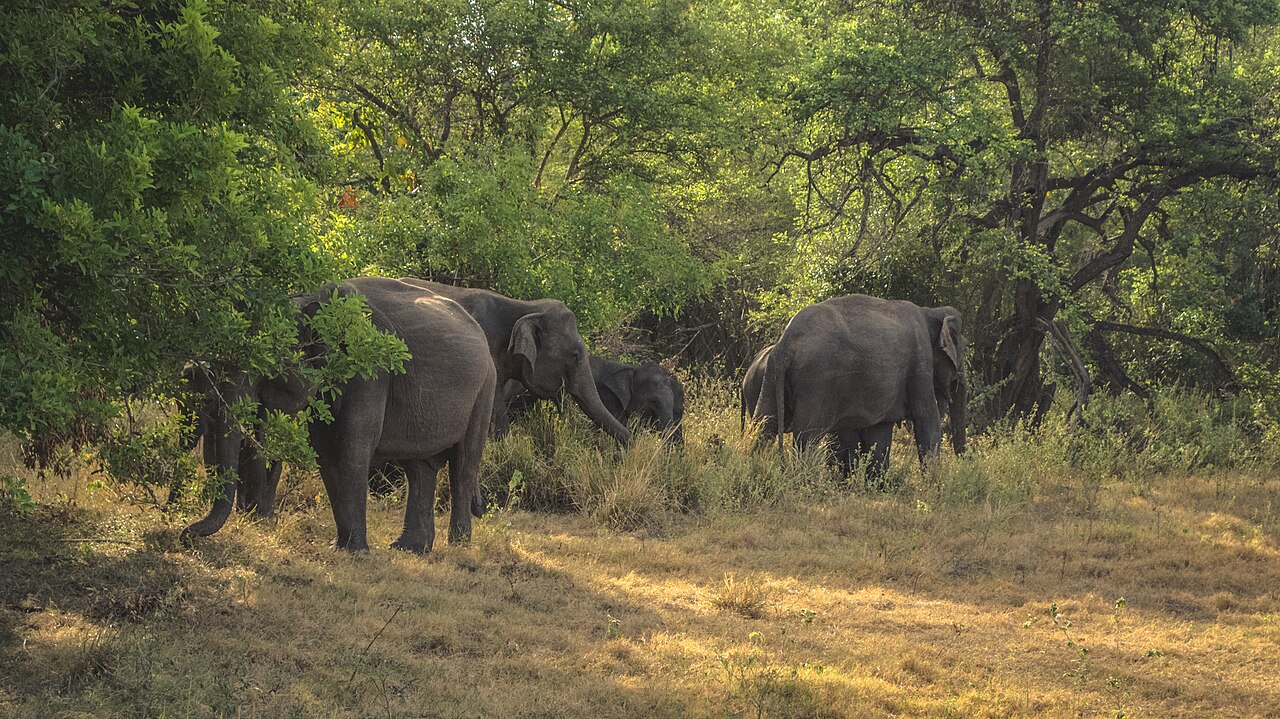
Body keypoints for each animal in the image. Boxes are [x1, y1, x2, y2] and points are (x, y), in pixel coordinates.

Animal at [183, 277, 496, 553]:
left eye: (265, 368)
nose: (186, 532)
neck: (311, 300)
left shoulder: (370, 369)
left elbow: (352, 447)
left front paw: (356, 552)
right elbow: (326, 452)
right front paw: (340, 548)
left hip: (484, 392)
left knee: (463, 466)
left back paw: (458, 546)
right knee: (419, 469)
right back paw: (409, 548)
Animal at [753, 295, 967, 481]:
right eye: (962, 351)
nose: (964, 462)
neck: (930, 311)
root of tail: (785, 344)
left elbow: (880, 431)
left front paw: (877, 486)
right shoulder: (920, 360)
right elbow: (926, 417)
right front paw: (935, 485)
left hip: (772, 375)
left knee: (763, 424)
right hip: (816, 382)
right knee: (807, 435)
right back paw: (805, 483)